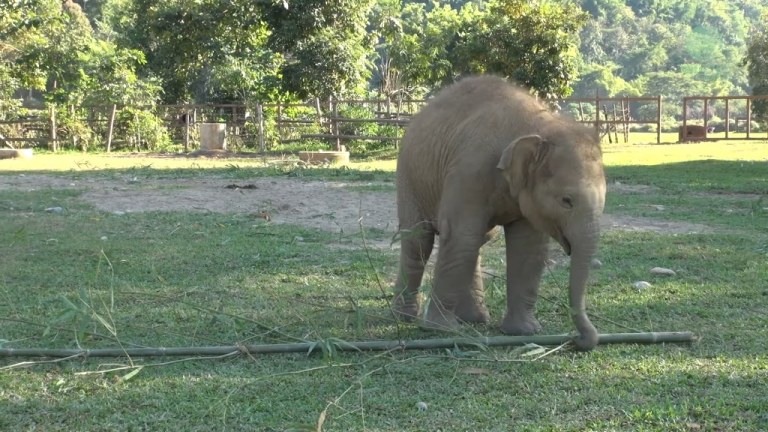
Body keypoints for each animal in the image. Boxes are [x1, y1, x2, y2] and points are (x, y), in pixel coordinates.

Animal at [396, 75, 608, 352]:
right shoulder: (469, 169)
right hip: (409, 175)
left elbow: (527, 246)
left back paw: (474, 319)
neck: (540, 125)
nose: (578, 339)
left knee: (476, 241)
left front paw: (524, 332)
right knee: (420, 239)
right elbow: (460, 234)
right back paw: (405, 317)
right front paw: (440, 330)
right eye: (566, 201)